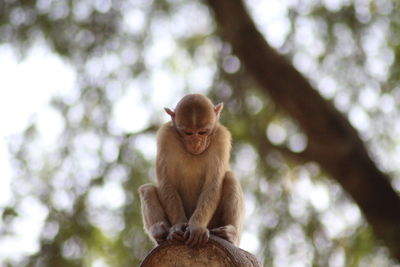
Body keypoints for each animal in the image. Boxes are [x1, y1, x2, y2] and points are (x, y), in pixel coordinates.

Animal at [138, 94, 244, 249]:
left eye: (202, 132)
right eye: (188, 133)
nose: (196, 143)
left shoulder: (221, 137)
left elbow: (213, 184)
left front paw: (197, 227)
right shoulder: (165, 135)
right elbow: (167, 183)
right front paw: (177, 226)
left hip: (215, 224)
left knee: (230, 178)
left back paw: (230, 235)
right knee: (147, 189)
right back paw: (159, 231)